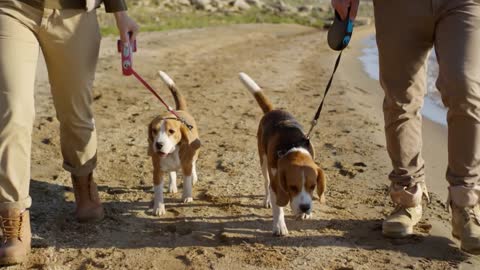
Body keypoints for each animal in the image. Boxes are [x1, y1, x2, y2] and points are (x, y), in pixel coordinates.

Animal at [146, 70, 199, 216]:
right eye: (154, 130)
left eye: (171, 131)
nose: (158, 144)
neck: (171, 152)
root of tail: (180, 110)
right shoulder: (157, 171)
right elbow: (158, 192)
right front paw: (159, 208)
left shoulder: (186, 165)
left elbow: (186, 181)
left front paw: (187, 196)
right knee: (172, 172)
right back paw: (172, 185)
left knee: (193, 165)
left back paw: (194, 178)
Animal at [239, 73, 326, 235]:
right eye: (293, 187)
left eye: (313, 186)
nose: (305, 208)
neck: (293, 147)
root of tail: (273, 111)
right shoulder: (276, 181)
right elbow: (278, 206)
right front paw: (280, 226)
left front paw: (305, 214)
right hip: (263, 162)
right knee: (266, 183)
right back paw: (267, 200)